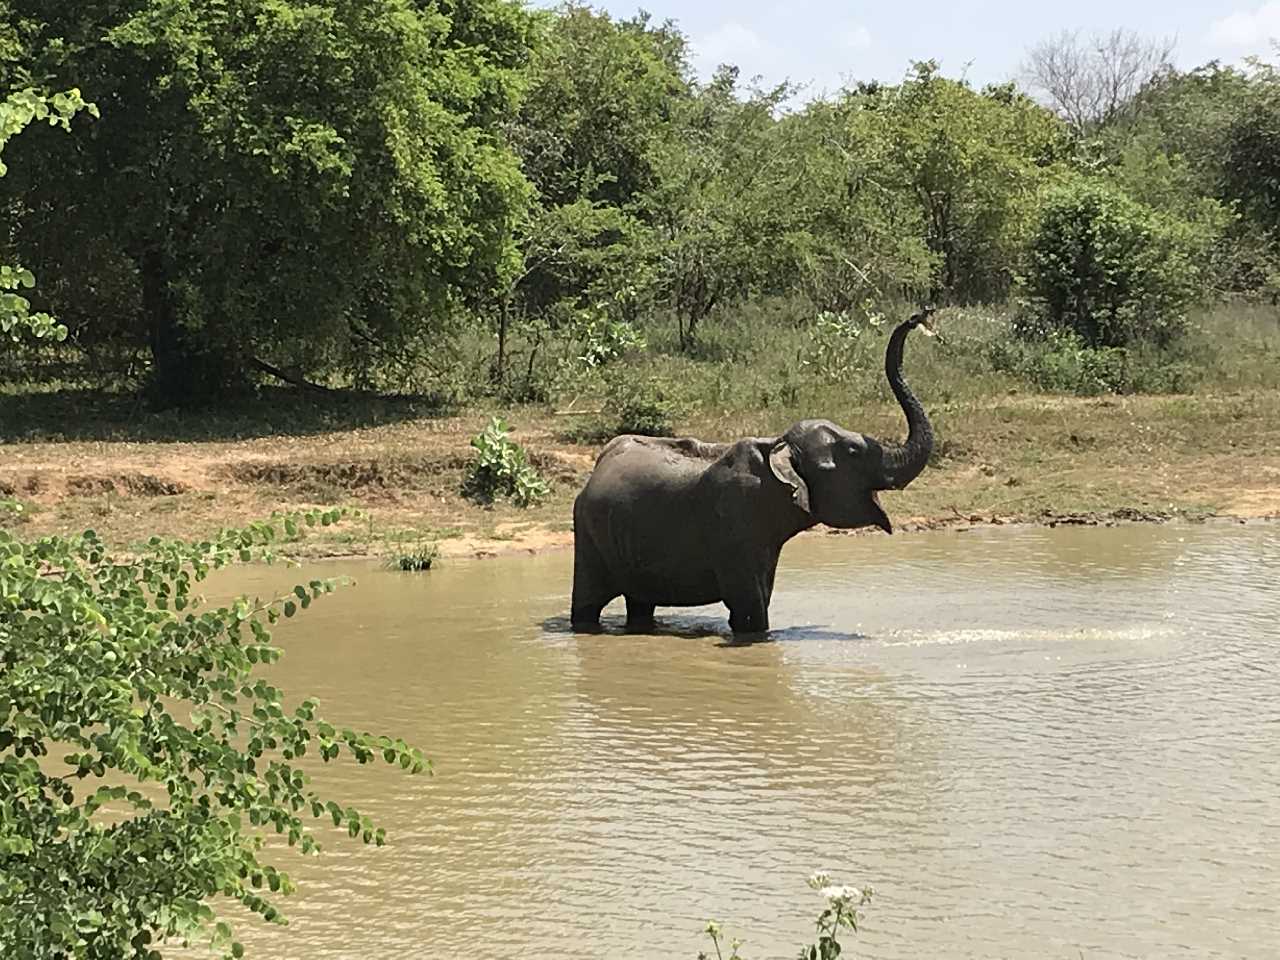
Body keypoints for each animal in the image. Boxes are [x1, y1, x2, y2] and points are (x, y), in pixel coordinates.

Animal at [570, 309, 939, 634]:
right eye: (853, 452)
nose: (917, 318)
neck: (777, 445)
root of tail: (598, 466)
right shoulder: (735, 524)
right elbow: (749, 609)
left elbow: (760, 597)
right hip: (588, 535)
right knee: (588, 603)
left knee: (640, 604)